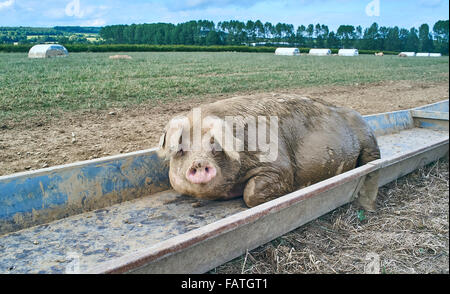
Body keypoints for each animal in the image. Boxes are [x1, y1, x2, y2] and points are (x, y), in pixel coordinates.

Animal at [157, 95, 380, 210]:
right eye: (181, 149)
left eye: (216, 145)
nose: (199, 163)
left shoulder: (280, 166)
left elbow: (250, 194)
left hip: (369, 141)